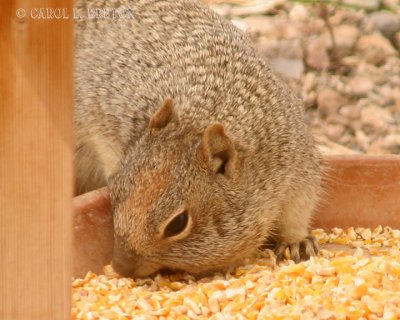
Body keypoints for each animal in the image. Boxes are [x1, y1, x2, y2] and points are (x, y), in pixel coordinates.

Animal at [74, 0, 322, 278]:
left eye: (178, 224)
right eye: (115, 194)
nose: (120, 266)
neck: (200, 118)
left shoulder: (297, 166)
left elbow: (298, 210)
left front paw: (296, 241)